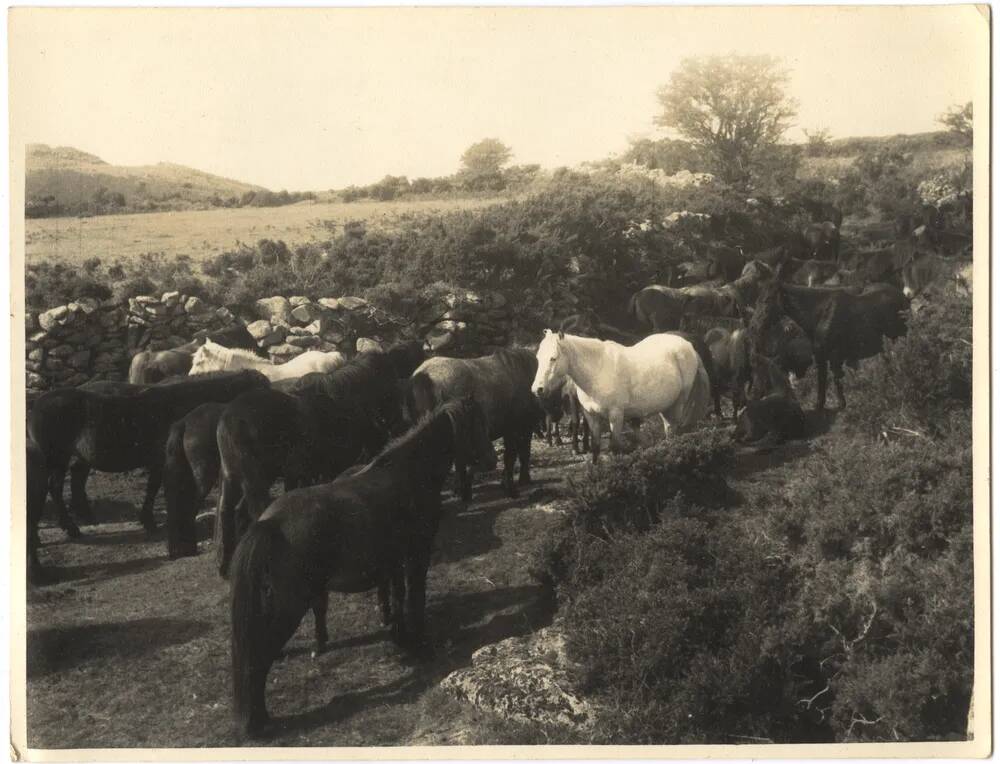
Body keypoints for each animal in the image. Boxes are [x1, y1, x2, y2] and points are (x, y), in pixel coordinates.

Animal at [28, 368, 268, 536]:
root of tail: (37, 405)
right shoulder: (162, 460)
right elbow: (156, 486)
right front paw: (152, 522)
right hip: (56, 457)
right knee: (55, 487)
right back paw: (71, 528)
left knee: (72, 480)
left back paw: (85, 518)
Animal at [230, 396, 496, 736]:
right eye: (478, 424)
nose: (491, 460)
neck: (410, 474)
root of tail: (269, 524)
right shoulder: (416, 554)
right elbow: (415, 598)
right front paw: (420, 642)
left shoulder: (394, 561)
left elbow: (397, 598)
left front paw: (401, 636)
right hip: (289, 606)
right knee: (259, 656)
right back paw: (257, 721)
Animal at [532, 328, 712, 460]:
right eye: (538, 358)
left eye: (553, 358)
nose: (537, 389)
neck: (597, 371)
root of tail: (688, 346)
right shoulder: (591, 416)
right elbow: (596, 447)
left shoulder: (616, 415)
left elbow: (615, 447)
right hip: (666, 405)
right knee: (669, 428)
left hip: (679, 402)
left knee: (674, 428)